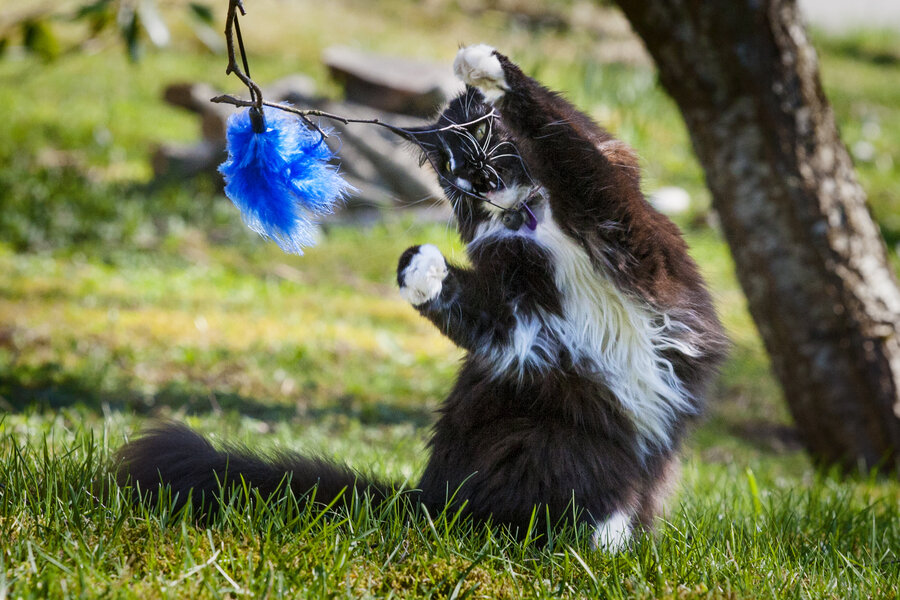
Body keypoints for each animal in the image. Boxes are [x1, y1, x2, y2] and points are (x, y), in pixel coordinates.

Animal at [116, 44, 728, 552]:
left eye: (483, 148)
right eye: (452, 176)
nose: (478, 185)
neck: (533, 224)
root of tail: (428, 501)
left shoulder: (621, 227)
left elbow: (564, 145)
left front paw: (485, 67)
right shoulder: (526, 322)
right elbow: (469, 304)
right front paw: (417, 267)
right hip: (549, 438)